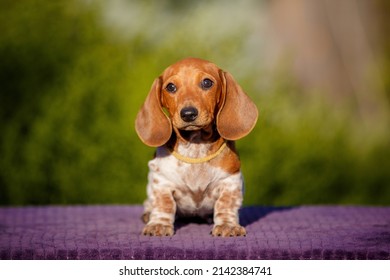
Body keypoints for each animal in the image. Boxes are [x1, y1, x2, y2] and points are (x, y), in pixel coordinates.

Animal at [136, 57, 258, 236]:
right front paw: (159, 224)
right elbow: (164, 204)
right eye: (170, 87)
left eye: (207, 83)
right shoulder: (162, 181)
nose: (188, 114)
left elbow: (225, 204)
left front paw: (227, 225)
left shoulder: (230, 180)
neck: (195, 146)